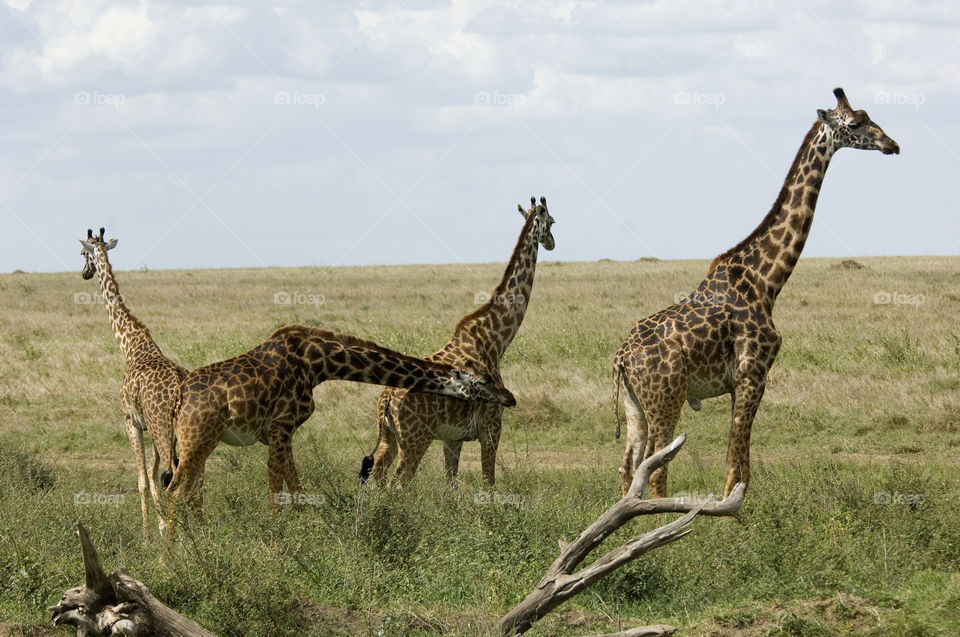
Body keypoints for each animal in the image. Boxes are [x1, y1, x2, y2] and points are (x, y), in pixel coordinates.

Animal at [78, 229, 188, 536]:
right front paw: (161, 525)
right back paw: (192, 534)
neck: (130, 344)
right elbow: (152, 475)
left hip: (163, 428)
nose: (85, 273)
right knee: (187, 477)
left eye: (82, 252)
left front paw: (148, 535)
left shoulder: (131, 421)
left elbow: (142, 479)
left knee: (174, 481)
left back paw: (173, 546)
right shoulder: (146, 427)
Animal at [166, 322, 512, 528]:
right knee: (174, 493)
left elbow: (295, 488)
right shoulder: (281, 426)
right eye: (484, 380)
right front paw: (278, 548)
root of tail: (179, 395)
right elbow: (277, 491)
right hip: (198, 439)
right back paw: (170, 557)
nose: (510, 398)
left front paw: (305, 535)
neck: (317, 363)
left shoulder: (284, 431)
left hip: (198, 443)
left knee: (188, 493)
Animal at [360, 196, 556, 484]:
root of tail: (385, 399)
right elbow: (489, 481)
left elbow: (450, 486)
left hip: (389, 438)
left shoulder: (453, 437)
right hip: (415, 439)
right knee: (398, 484)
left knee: (378, 478)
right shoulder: (492, 426)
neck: (495, 341)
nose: (551, 243)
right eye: (552, 221)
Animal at [616, 88, 900, 496]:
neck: (766, 282)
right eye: (856, 124)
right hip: (665, 398)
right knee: (653, 471)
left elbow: (741, 467)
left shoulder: (740, 384)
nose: (892, 145)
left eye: (869, 115)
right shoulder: (753, 375)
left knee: (628, 466)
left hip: (634, 404)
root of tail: (621, 359)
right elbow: (736, 470)